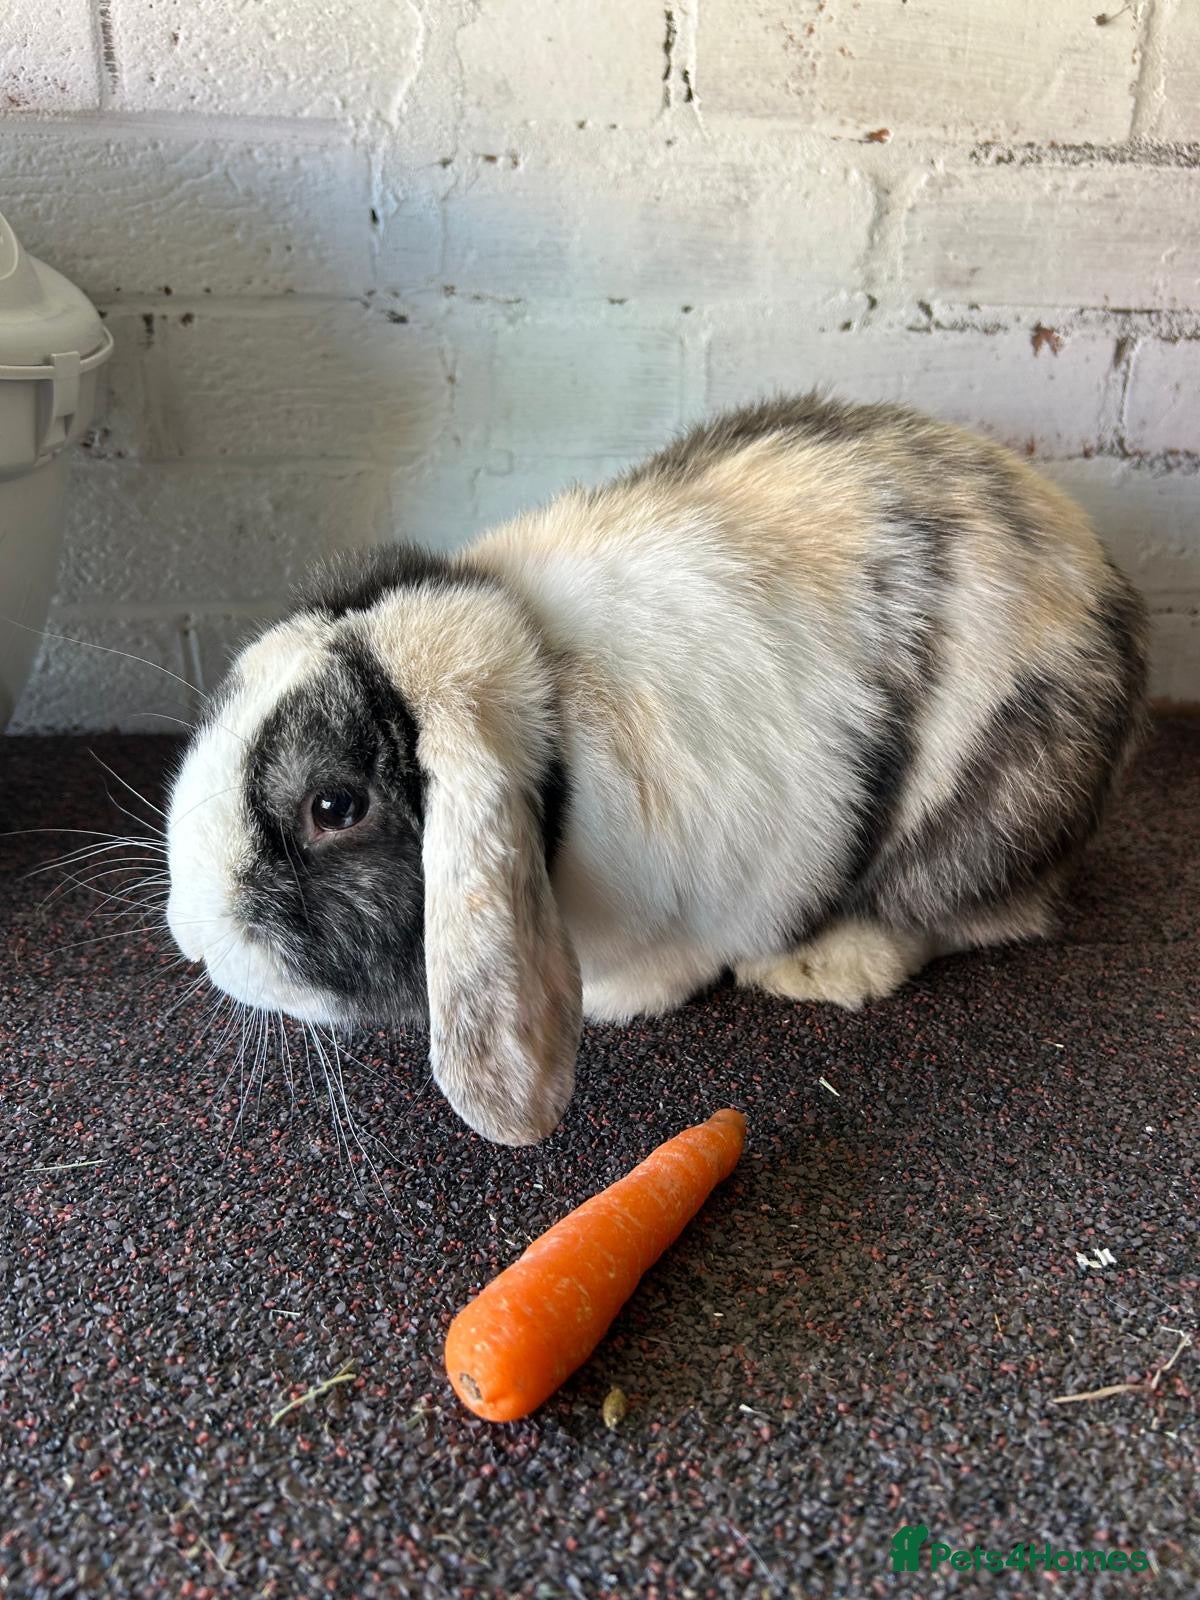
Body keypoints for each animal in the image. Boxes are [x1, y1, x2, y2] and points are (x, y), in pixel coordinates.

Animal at [166, 393, 1148, 1146]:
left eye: (335, 806)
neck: (543, 692)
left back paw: (823, 967)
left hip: (983, 813)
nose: (190, 940)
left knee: (954, 912)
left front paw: (618, 1003)